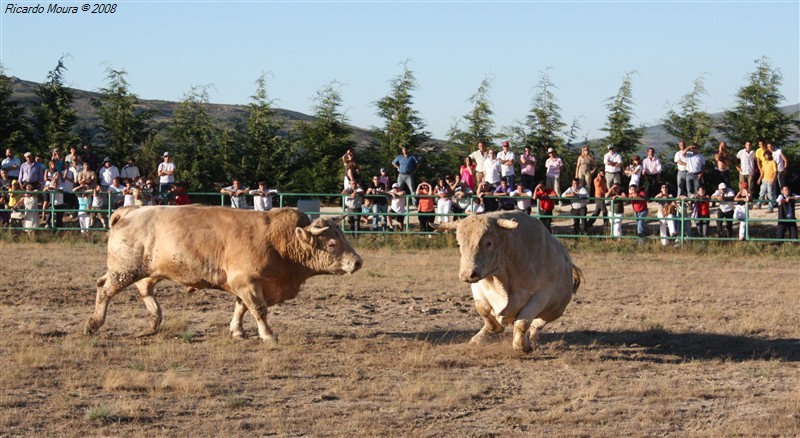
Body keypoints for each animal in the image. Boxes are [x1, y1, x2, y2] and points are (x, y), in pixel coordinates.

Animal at [83, 205, 364, 342]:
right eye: (332, 244)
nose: (357, 262)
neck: (278, 241)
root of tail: (128, 211)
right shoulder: (246, 281)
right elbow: (259, 309)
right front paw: (268, 334)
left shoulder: (245, 284)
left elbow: (241, 307)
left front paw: (237, 331)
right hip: (124, 269)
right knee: (104, 289)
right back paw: (93, 324)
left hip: (147, 270)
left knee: (144, 288)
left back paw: (154, 320)